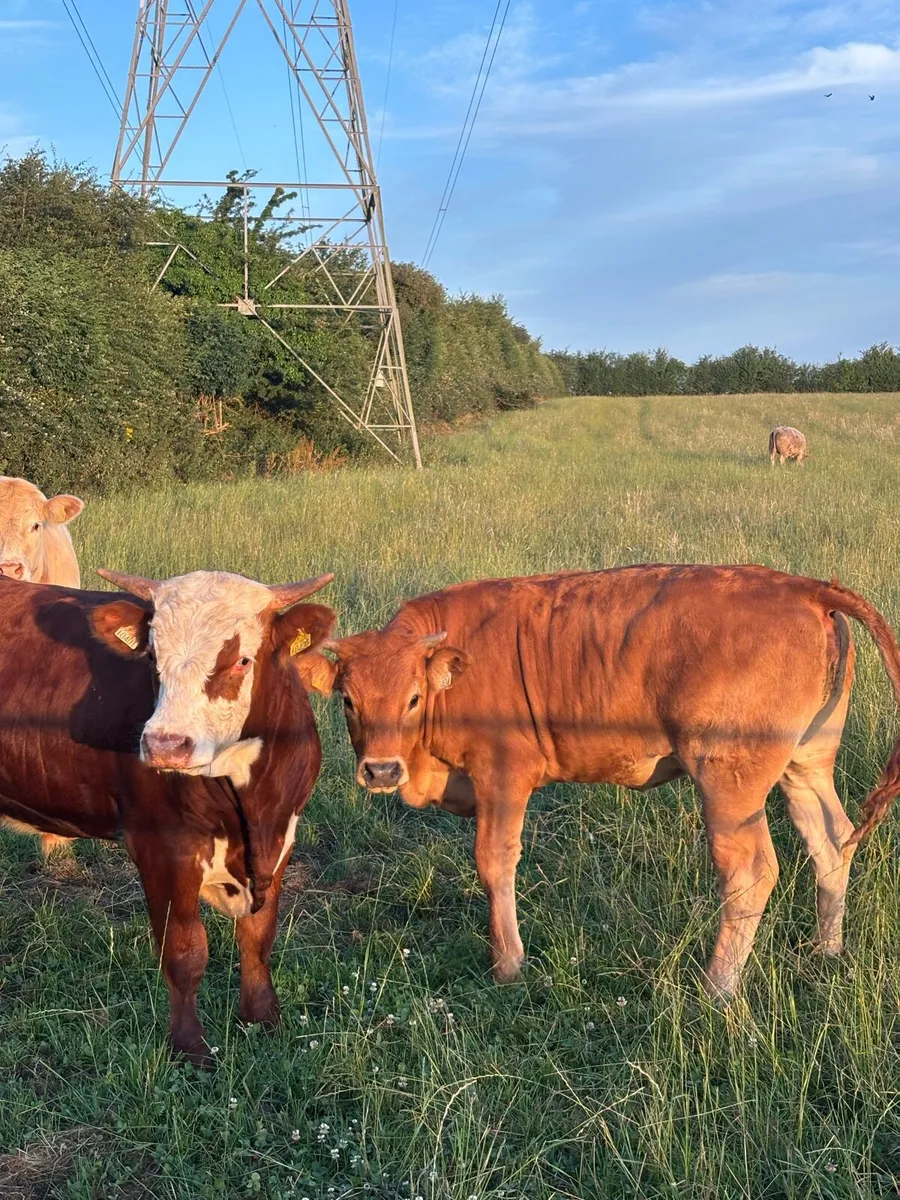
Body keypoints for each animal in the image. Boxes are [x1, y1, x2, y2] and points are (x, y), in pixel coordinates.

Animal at [0, 568, 334, 1064]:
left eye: (242, 660)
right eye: (153, 657)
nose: (164, 745)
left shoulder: (281, 838)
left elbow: (258, 937)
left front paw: (263, 1019)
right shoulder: (163, 847)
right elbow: (185, 951)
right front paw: (190, 1047)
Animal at [298, 565, 900, 1000]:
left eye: (413, 698)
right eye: (348, 700)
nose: (380, 770)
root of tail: (801, 587)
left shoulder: (502, 774)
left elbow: (494, 861)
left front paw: (508, 964)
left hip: (728, 782)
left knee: (750, 871)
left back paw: (716, 988)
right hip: (806, 765)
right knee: (831, 843)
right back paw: (827, 949)